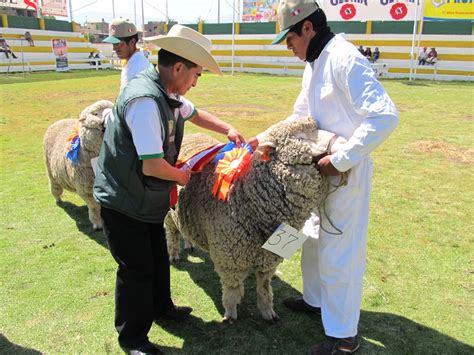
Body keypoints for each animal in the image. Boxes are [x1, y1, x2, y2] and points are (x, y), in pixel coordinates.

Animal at [42, 99, 113, 231]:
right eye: (95, 114)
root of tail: (59, 121)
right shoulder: (86, 190)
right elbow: (94, 207)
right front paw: (97, 223)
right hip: (51, 172)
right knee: (55, 187)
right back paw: (58, 199)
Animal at [165, 118, 346, 324]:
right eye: (300, 137)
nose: (342, 142)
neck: (248, 195)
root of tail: (192, 135)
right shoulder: (230, 259)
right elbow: (232, 289)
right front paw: (230, 314)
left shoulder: (268, 258)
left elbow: (265, 287)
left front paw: (268, 312)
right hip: (169, 213)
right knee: (172, 233)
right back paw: (174, 254)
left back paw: (188, 243)